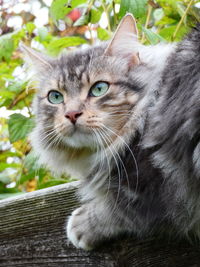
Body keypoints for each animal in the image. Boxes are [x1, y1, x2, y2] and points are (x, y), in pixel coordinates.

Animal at [20, 13, 200, 250]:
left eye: (99, 89)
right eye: (55, 97)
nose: (72, 114)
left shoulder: (157, 189)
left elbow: (118, 211)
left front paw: (82, 225)